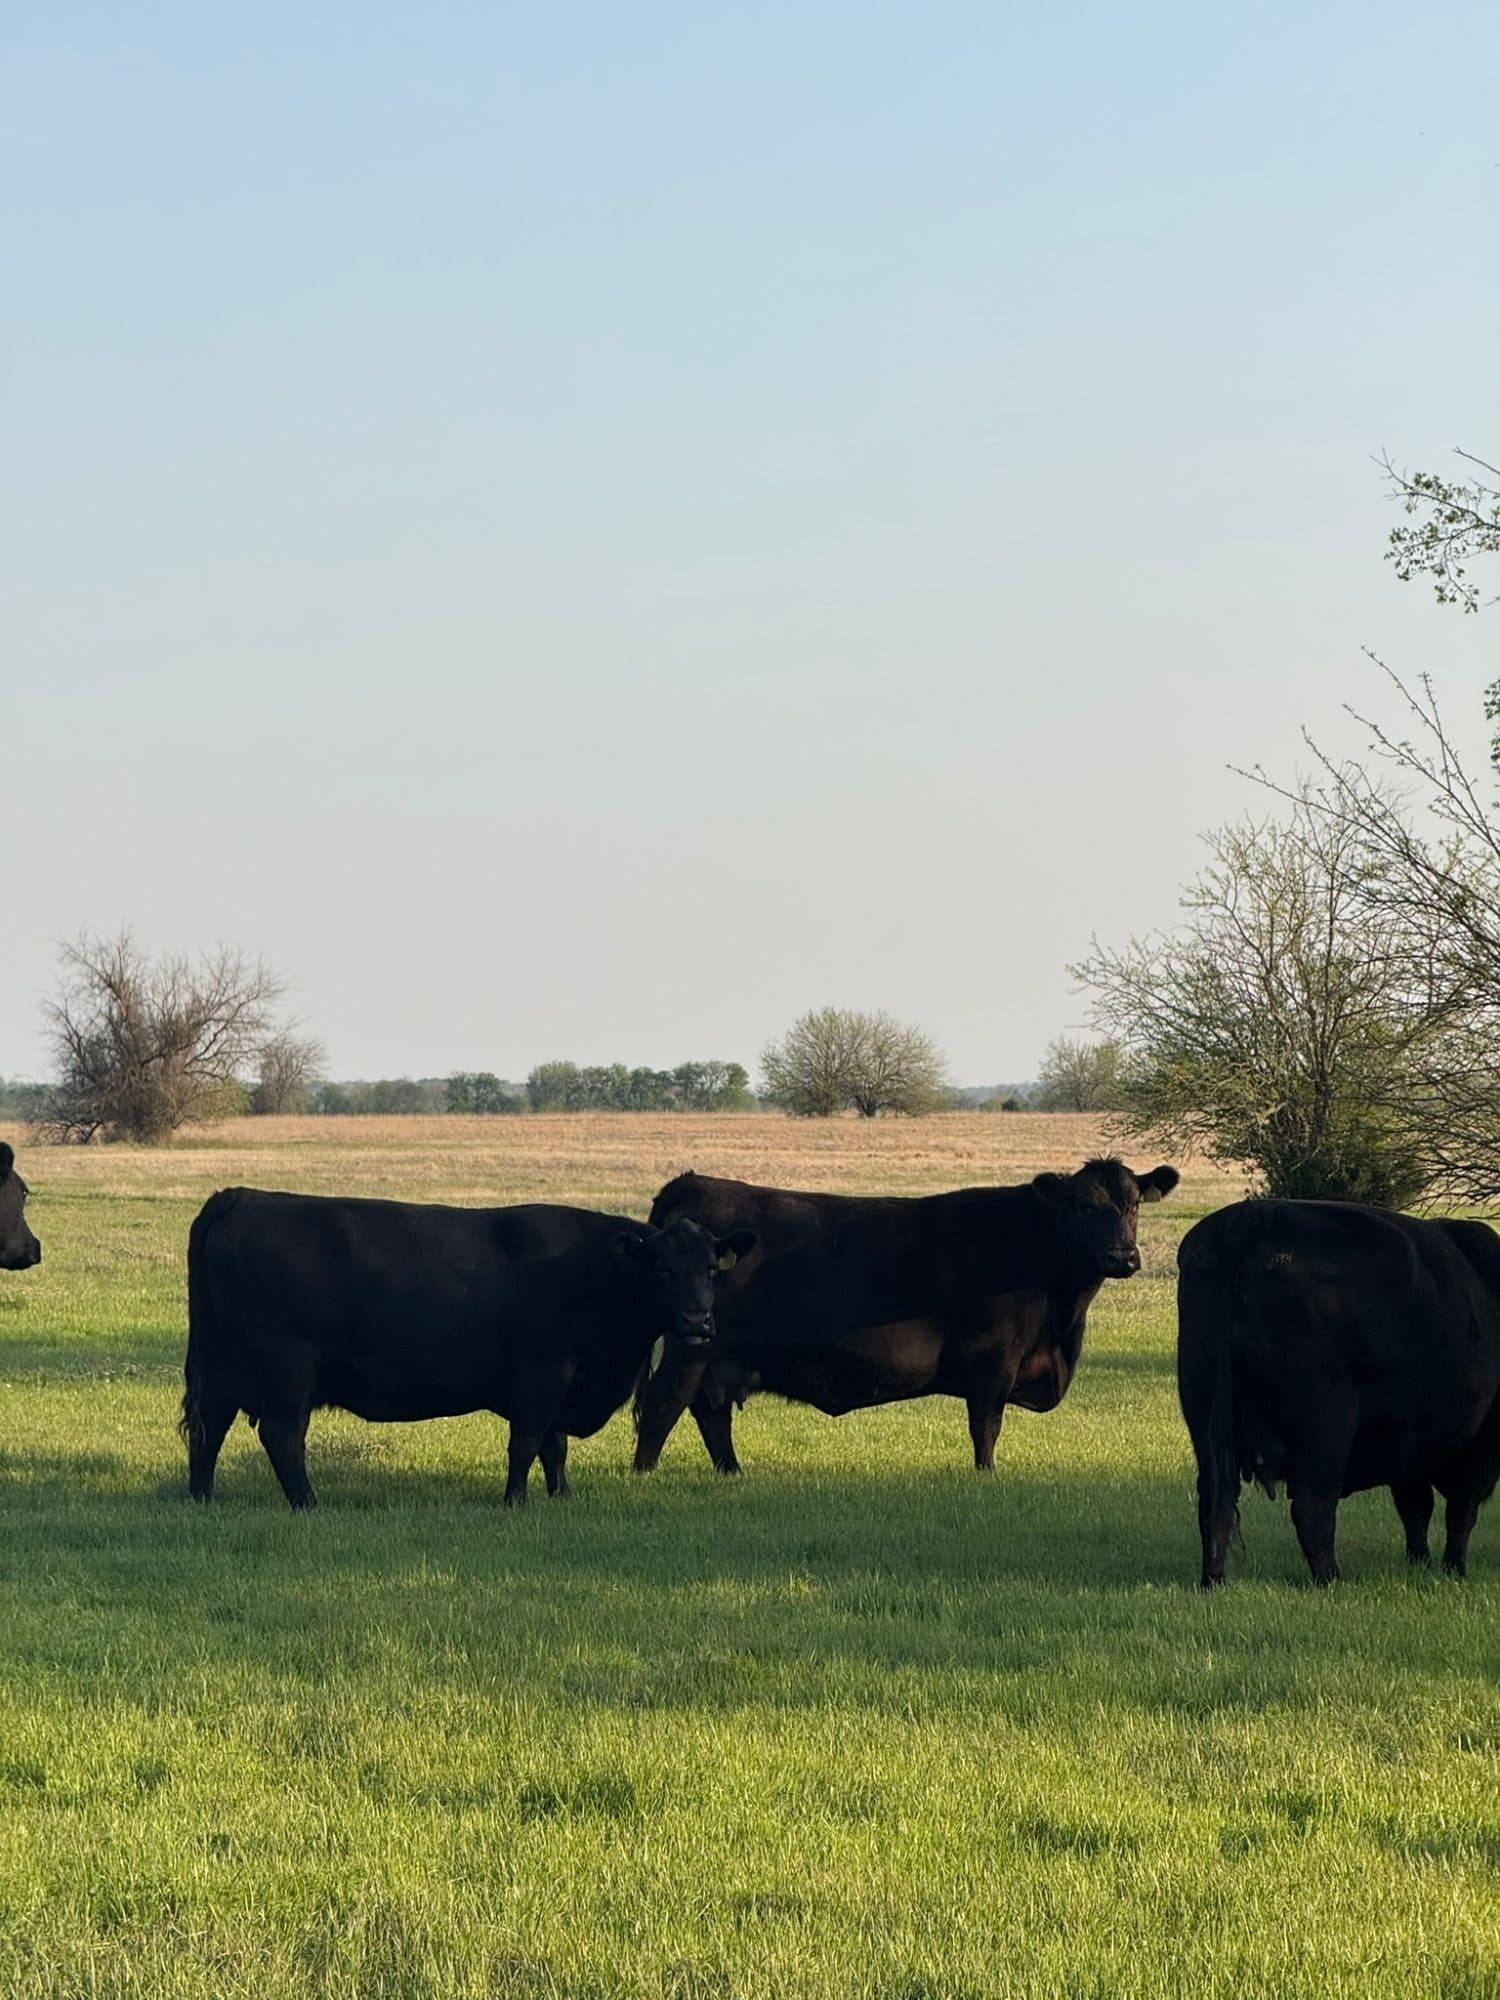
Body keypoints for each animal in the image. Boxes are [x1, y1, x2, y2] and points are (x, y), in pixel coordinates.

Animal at [182, 1186, 754, 1509]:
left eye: (710, 1268)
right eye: (663, 1270)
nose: (698, 1321)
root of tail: (245, 1196)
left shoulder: (559, 1382)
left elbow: (554, 1447)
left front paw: (561, 1496)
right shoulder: (544, 1372)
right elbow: (528, 1442)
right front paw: (515, 1501)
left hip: (224, 1368)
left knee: (209, 1428)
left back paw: (202, 1497)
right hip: (286, 1371)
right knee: (282, 1437)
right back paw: (307, 1503)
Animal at [632, 1157, 1179, 1475]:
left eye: (1134, 1203)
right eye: (1084, 1206)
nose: (1123, 1256)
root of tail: (691, 1182)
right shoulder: (992, 1358)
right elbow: (986, 1426)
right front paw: (986, 1477)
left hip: (718, 1356)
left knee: (710, 1411)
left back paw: (733, 1473)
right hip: (691, 1344)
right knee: (662, 1407)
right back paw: (645, 1475)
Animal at [1177, 1199, 1500, 1587]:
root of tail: (1253, 1214)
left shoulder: (1410, 1447)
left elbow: (1416, 1508)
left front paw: (1420, 1563)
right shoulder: (1480, 1444)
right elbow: (1459, 1511)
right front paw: (1454, 1569)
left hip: (1204, 1416)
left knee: (1214, 1503)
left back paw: (1213, 1579)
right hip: (1325, 1427)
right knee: (1311, 1505)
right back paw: (1330, 1579)